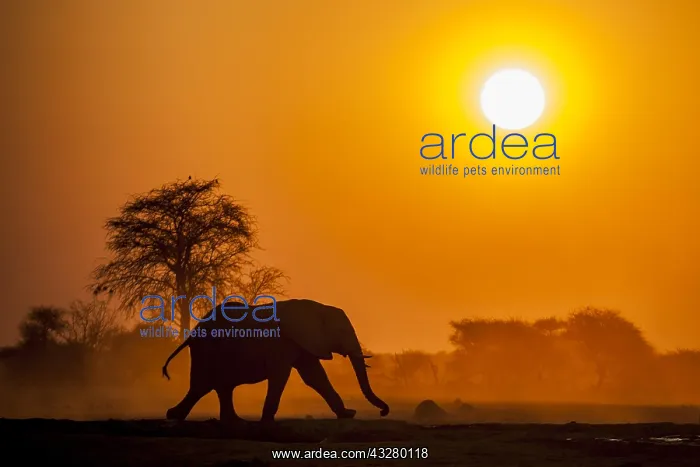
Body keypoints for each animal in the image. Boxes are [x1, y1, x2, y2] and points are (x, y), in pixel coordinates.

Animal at [161, 298, 390, 422]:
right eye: (342, 331)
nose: (383, 412)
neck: (318, 307)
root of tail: (193, 333)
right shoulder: (282, 342)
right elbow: (281, 375)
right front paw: (267, 420)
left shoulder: (301, 342)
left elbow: (315, 376)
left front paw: (347, 414)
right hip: (207, 350)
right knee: (203, 384)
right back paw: (174, 415)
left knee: (215, 386)